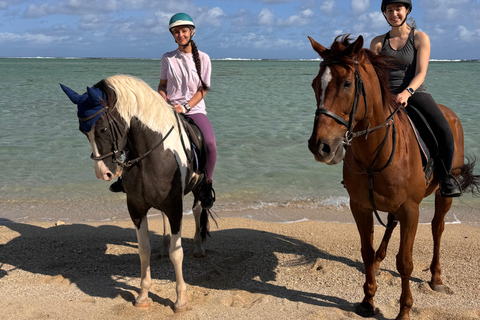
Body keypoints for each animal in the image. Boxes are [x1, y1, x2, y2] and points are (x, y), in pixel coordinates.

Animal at [60, 75, 210, 312]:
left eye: (103, 129)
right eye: (83, 132)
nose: (103, 173)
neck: (153, 153)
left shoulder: (175, 207)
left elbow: (177, 253)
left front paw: (180, 301)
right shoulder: (136, 208)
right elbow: (144, 250)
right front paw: (142, 296)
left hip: (197, 189)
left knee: (197, 211)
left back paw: (199, 246)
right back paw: (164, 246)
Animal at [308, 35, 480, 320]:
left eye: (346, 84)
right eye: (314, 84)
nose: (320, 146)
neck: (375, 150)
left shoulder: (411, 209)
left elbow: (405, 262)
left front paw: (404, 310)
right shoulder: (361, 206)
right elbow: (366, 252)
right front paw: (368, 300)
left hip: (443, 194)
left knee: (437, 229)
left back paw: (436, 278)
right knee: (390, 223)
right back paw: (380, 260)